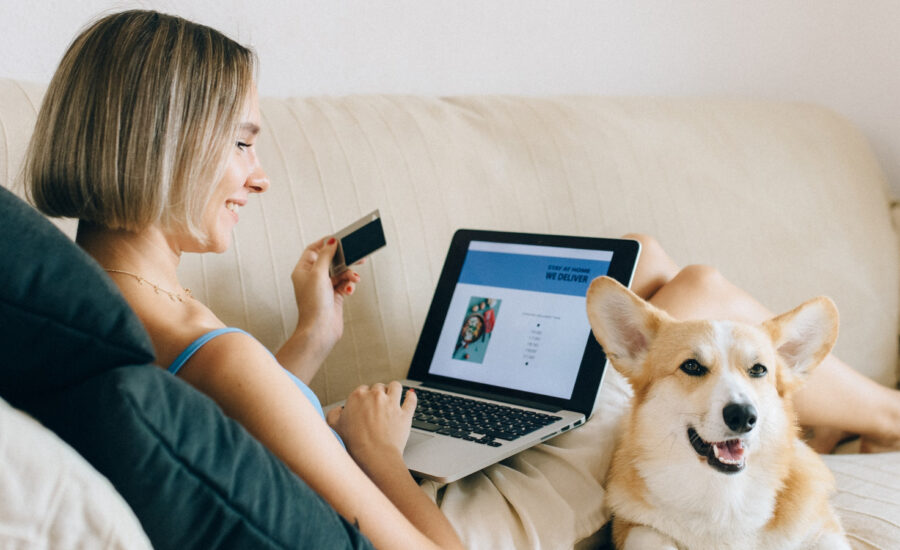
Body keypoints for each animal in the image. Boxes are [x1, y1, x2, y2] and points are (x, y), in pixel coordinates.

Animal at [588, 278, 848, 550]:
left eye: (758, 369)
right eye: (691, 366)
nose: (743, 416)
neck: (724, 495)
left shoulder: (821, 529)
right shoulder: (635, 525)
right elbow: (654, 537)